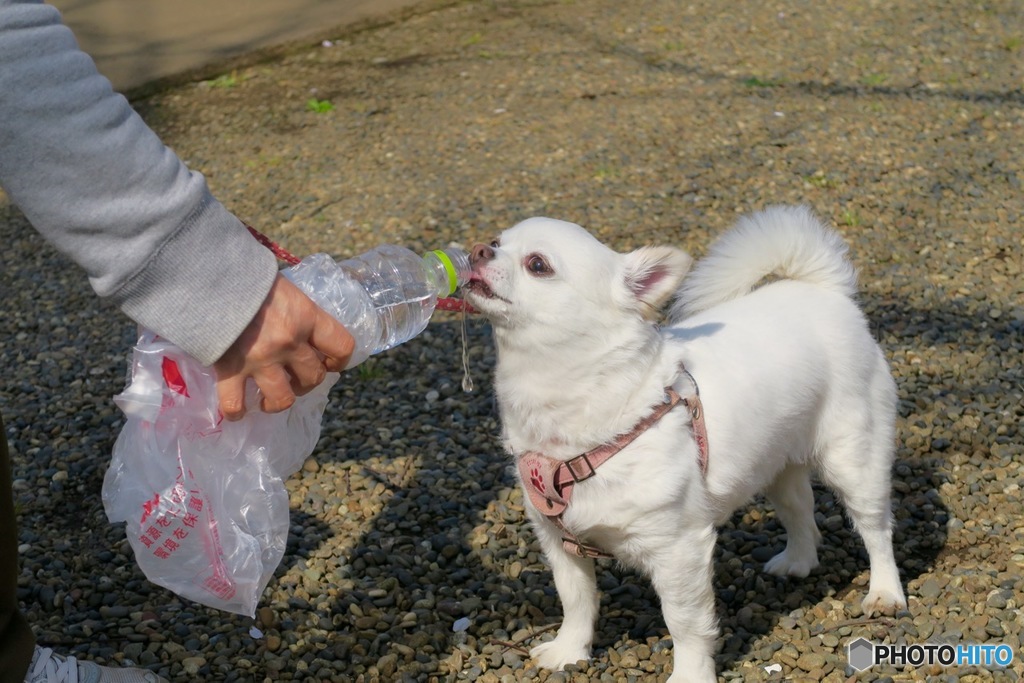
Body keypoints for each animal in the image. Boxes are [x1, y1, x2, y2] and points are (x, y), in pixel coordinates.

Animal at [468, 205, 909, 683]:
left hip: (854, 462)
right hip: (776, 464)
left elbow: (685, 622)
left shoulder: (678, 549)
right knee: (800, 512)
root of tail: (823, 290)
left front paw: (690, 675)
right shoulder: (558, 540)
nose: (477, 249)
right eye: (497, 241)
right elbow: (577, 600)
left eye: (538, 265)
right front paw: (570, 650)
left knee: (876, 529)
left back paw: (885, 593)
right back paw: (798, 561)